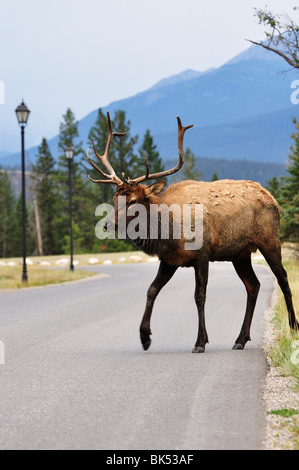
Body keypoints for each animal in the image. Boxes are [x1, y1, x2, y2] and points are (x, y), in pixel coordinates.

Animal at [88, 111, 298, 352]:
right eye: (115, 198)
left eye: (132, 201)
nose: (106, 224)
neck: (168, 232)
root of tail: (271, 197)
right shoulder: (169, 260)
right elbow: (151, 289)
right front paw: (145, 337)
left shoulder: (202, 254)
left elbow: (199, 295)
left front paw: (200, 341)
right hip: (240, 254)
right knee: (253, 285)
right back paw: (240, 339)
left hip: (269, 239)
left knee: (283, 277)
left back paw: (293, 328)